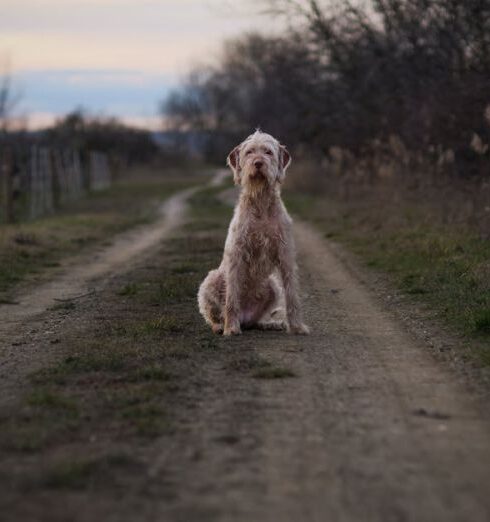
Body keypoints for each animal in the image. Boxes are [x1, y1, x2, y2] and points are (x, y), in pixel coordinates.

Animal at [196, 128, 308, 336]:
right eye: (249, 152)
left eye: (268, 152)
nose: (258, 163)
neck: (261, 201)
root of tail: (245, 316)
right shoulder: (237, 254)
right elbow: (232, 296)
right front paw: (231, 328)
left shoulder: (285, 253)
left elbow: (292, 294)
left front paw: (296, 326)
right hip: (211, 280)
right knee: (214, 314)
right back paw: (221, 325)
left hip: (272, 286)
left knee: (254, 322)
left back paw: (270, 323)